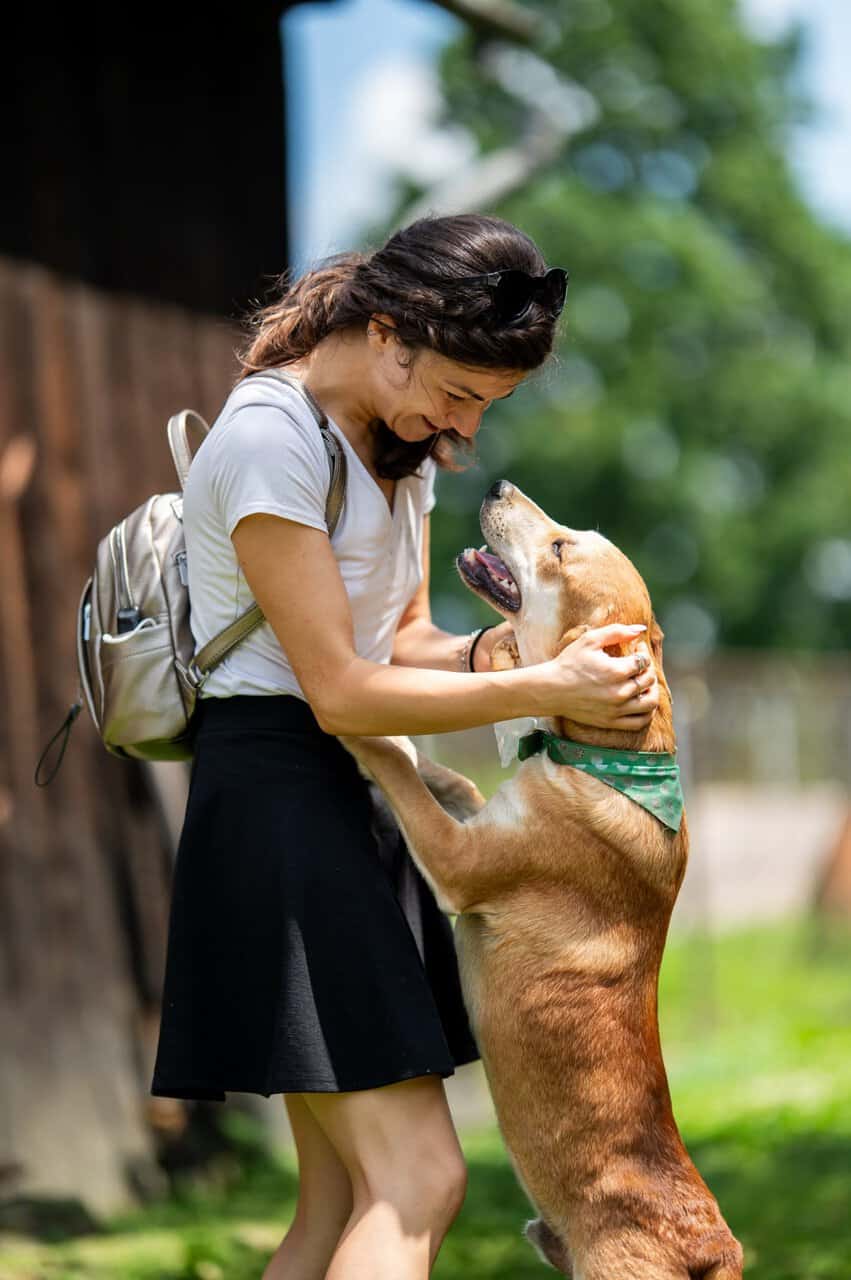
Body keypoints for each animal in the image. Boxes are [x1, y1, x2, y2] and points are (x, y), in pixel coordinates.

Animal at [337, 481, 737, 1280]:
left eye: (558, 547)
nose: (497, 486)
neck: (602, 753)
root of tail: (710, 1245)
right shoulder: (478, 822)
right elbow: (449, 779)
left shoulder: (458, 864)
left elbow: (399, 771)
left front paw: (364, 723)